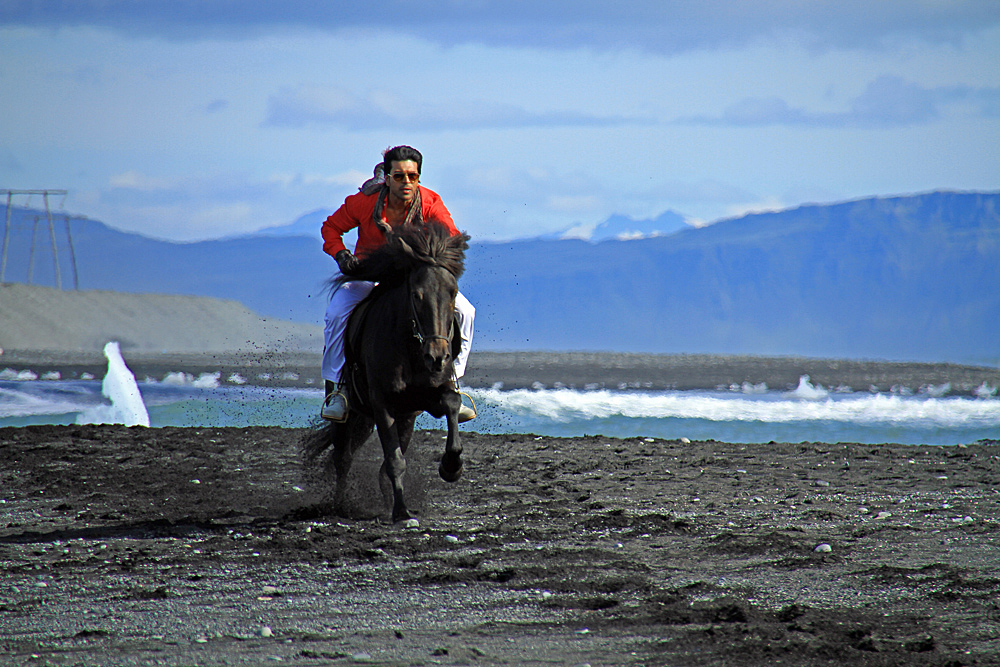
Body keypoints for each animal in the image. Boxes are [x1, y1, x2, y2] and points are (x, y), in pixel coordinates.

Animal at [302, 222, 470, 524]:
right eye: (416, 294)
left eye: (452, 293)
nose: (437, 356)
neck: (411, 347)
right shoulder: (382, 404)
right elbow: (394, 460)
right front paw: (402, 512)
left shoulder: (428, 397)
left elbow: (452, 403)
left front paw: (452, 467)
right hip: (350, 412)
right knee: (342, 458)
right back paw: (340, 504)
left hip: (403, 417)